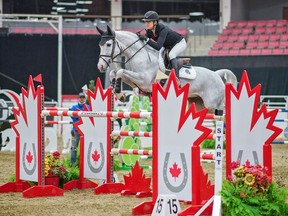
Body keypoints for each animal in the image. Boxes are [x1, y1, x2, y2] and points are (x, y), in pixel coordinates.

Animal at [97, 25, 236, 113]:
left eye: (108, 44)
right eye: (100, 45)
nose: (100, 66)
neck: (139, 56)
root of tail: (216, 75)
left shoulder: (144, 81)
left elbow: (120, 71)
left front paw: (119, 92)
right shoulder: (135, 81)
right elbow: (115, 72)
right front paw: (119, 93)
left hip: (213, 104)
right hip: (197, 103)